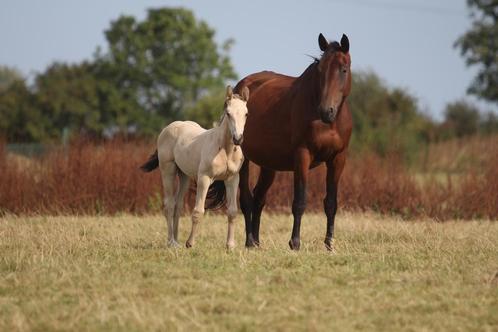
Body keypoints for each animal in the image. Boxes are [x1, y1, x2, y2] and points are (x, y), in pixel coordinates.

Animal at [140, 85, 249, 249]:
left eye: (246, 114)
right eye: (228, 113)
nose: (238, 139)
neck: (224, 150)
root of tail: (169, 127)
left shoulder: (232, 179)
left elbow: (232, 211)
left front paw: (230, 245)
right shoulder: (204, 178)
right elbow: (198, 211)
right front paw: (190, 243)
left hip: (184, 175)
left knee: (178, 205)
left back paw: (176, 240)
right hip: (168, 170)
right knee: (169, 204)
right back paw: (171, 242)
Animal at [235, 33, 352, 250]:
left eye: (343, 69)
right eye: (320, 71)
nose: (326, 111)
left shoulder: (338, 159)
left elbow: (331, 203)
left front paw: (329, 244)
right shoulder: (302, 156)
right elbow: (299, 201)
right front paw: (295, 242)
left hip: (268, 165)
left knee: (259, 198)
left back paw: (257, 242)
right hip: (243, 158)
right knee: (246, 199)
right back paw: (249, 242)